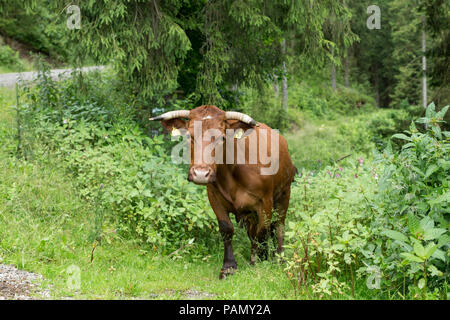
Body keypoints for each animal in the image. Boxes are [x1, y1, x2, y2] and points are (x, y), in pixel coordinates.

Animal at [151, 106, 298, 278]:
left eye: (221, 138)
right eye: (189, 135)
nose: (200, 173)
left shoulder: (265, 202)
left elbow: (263, 231)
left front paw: (262, 261)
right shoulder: (214, 198)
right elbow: (227, 229)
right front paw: (229, 266)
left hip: (284, 195)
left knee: (279, 226)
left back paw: (279, 257)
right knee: (254, 232)